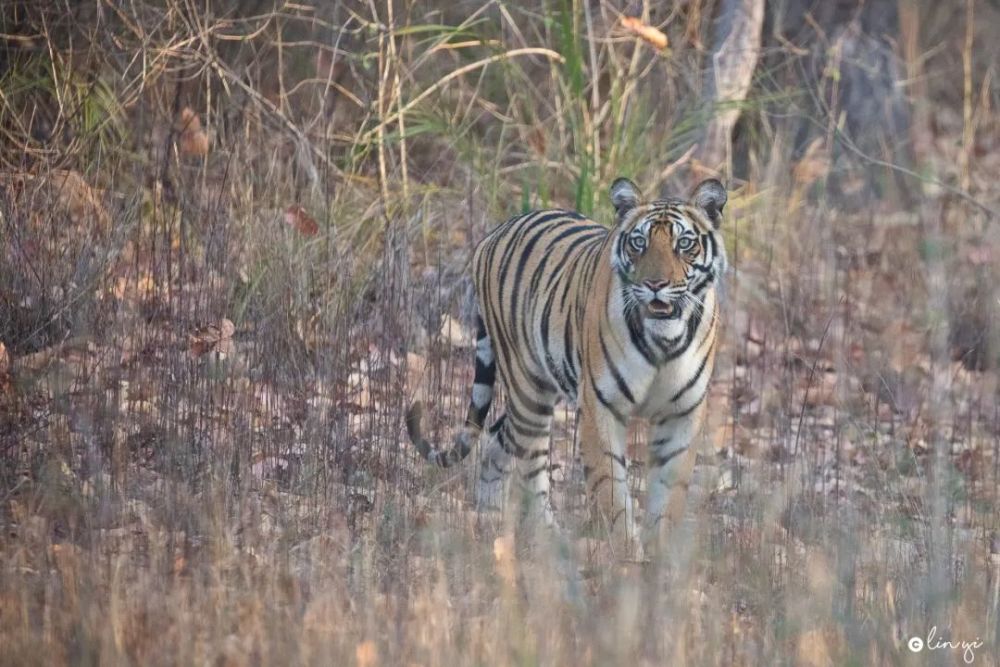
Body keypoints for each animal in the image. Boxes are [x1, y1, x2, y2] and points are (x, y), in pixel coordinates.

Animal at [406, 176, 728, 552]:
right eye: (639, 243)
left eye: (684, 244)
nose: (655, 285)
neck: (664, 338)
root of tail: (493, 233)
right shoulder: (600, 405)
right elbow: (610, 486)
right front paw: (625, 550)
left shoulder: (682, 412)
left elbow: (670, 492)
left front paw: (660, 553)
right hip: (529, 390)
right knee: (531, 466)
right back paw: (547, 538)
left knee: (497, 437)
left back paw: (489, 519)